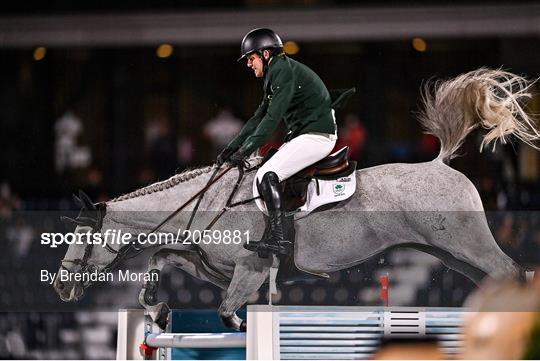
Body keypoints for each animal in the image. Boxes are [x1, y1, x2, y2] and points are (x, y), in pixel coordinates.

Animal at [56, 67, 540, 330]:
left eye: (83, 238)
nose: (61, 285)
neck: (205, 205)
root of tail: (439, 164)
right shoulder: (206, 263)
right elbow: (159, 263)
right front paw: (156, 310)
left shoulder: (250, 270)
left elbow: (227, 313)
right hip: (450, 253)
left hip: (467, 244)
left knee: (511, 272)